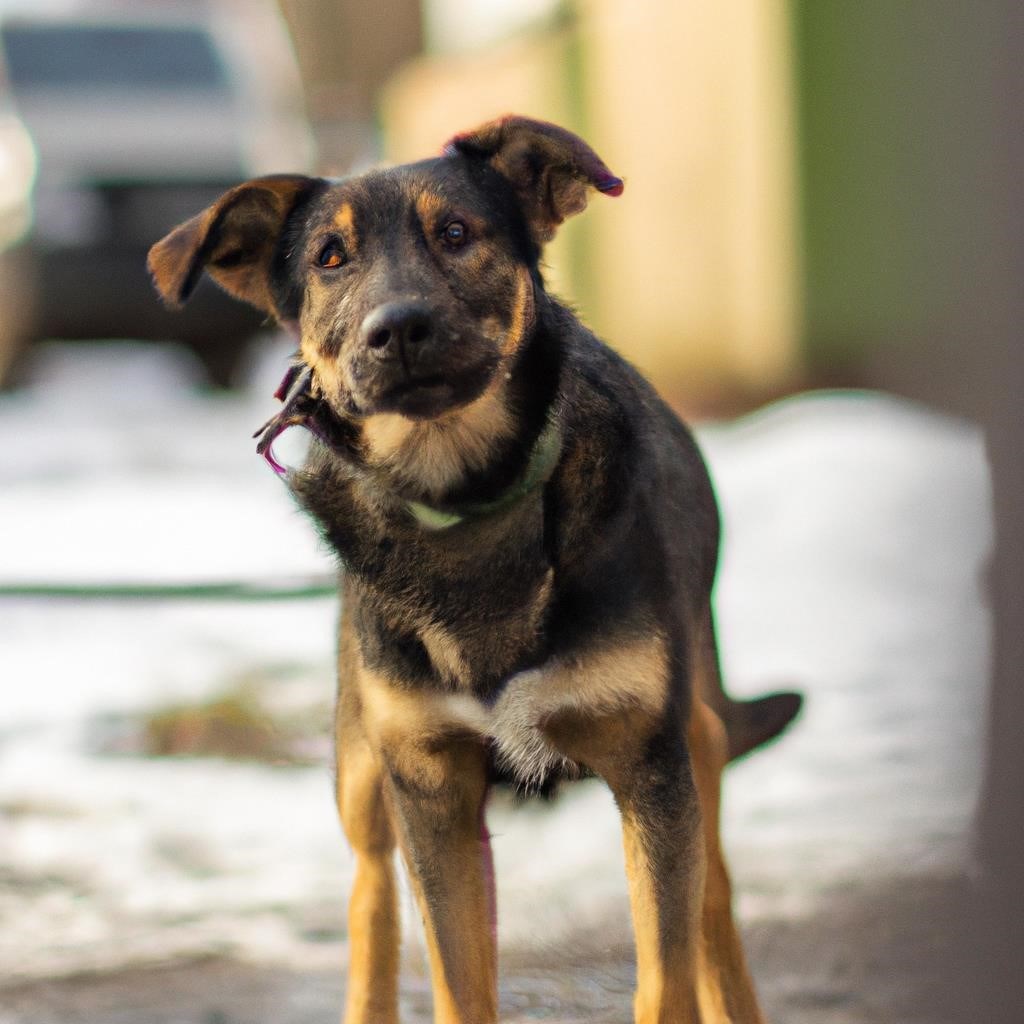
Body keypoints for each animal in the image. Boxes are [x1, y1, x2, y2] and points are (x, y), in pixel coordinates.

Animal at [149, 116, 798, 1024]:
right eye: (329, 257)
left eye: (456, 234)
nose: (397, 328)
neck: (463, 502)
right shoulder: (429, 786)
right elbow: (456, 978)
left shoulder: (651, 767)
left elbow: (667, 972)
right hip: (362, 768)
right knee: (370, 895)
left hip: (695, 735)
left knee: (714, 905)